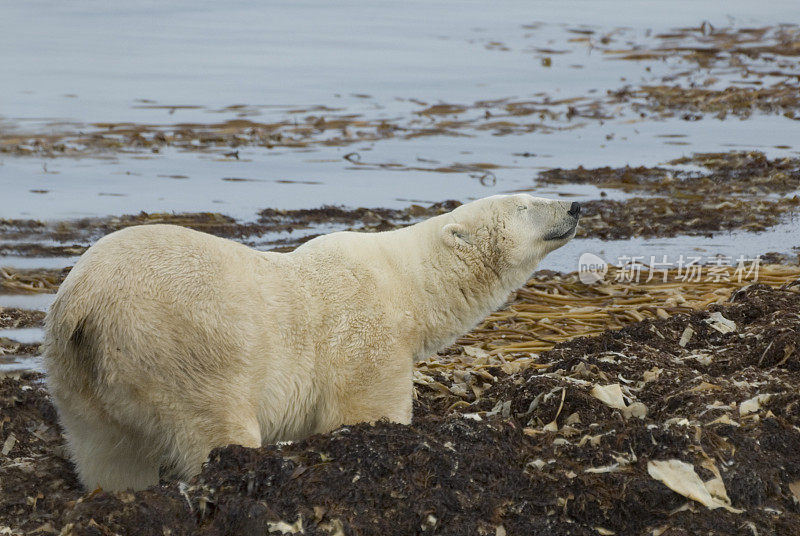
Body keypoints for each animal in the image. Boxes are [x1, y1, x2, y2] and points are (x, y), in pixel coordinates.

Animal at [43, 194, 580, 490]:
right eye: (525, 204)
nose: (575, 205)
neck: (402, 281)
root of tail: (85, 301)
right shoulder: (365, 339)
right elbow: (364, 410)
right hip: (183, 345)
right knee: (213, 423)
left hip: (78, 374)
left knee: (108, 450)